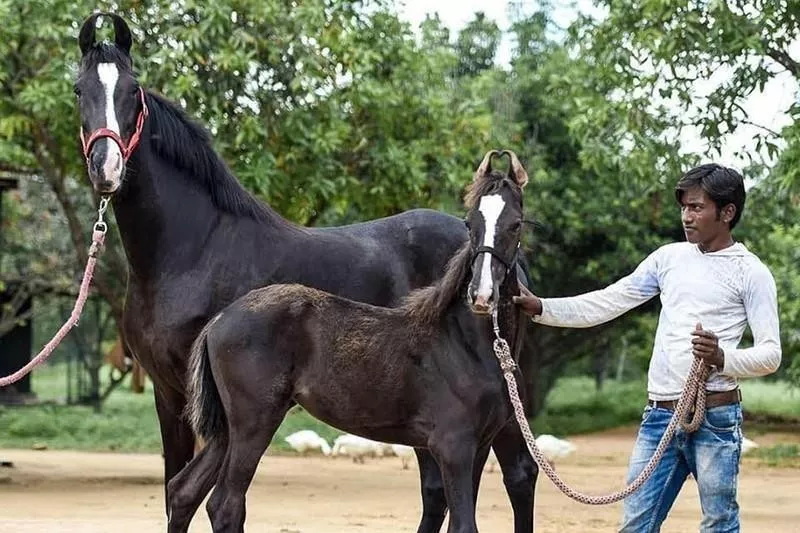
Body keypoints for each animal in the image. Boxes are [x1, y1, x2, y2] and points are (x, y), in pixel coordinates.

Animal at [184, 158, 528, 532]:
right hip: (253, 423)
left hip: (227, 428)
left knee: (183, 488)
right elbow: (464, 524)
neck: (464, 343)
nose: (481, 295)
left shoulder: (478, 448)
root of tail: (220, 318)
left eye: (516, 224)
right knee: (225, 504)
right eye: (469, 223)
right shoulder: (453, 447)